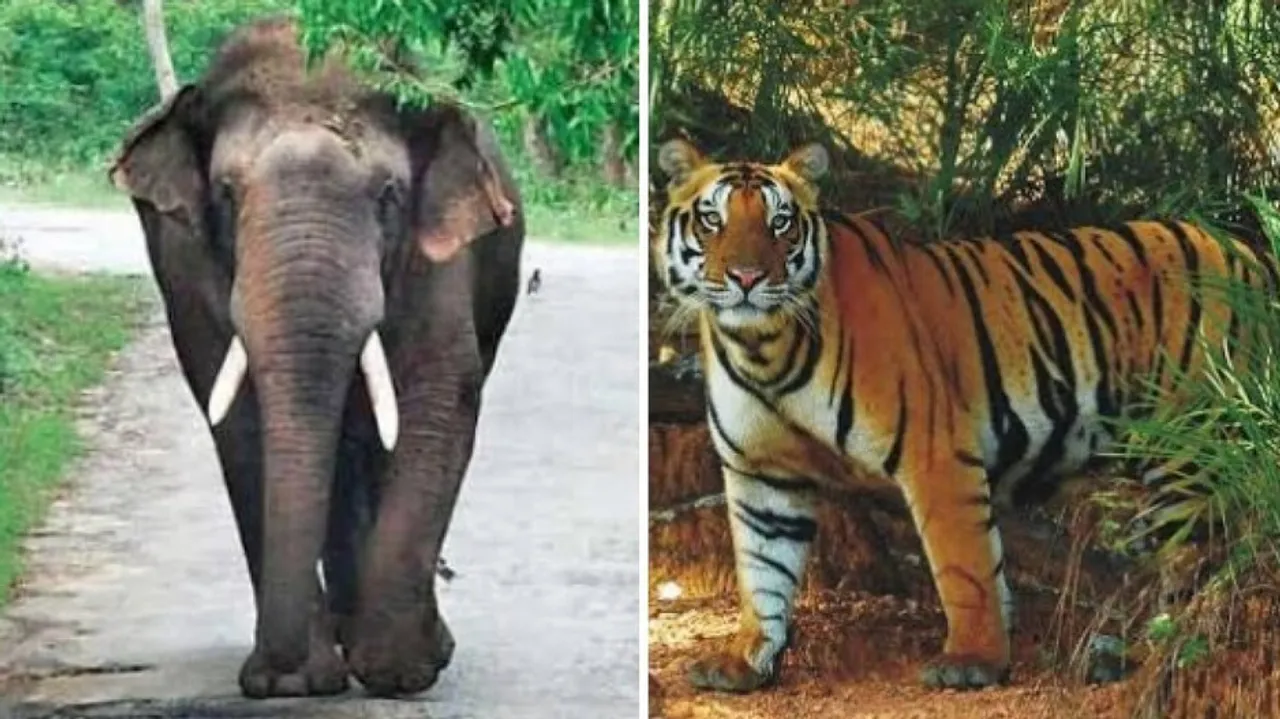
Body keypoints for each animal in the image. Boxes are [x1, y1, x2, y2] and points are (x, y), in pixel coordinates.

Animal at [108, 17, 523, 698]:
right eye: (226, 194)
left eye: (389, 196)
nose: (273, 671)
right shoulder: (185, 263)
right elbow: (239, 418)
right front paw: (294, 684)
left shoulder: (440, 255)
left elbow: (435, 398)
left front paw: (399, 673)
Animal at [651, 137, 1277, 692]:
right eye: (712, 220)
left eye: (781, 222)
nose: (747, 278)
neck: (763, 348)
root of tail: (1245, 254)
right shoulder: (761, 475)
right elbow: (762, 570)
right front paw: (745, 661)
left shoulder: (936, 456)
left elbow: (964, 567)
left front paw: (973, 661)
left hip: (1190, 446)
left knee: (1200, 563)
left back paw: (1159, 653)